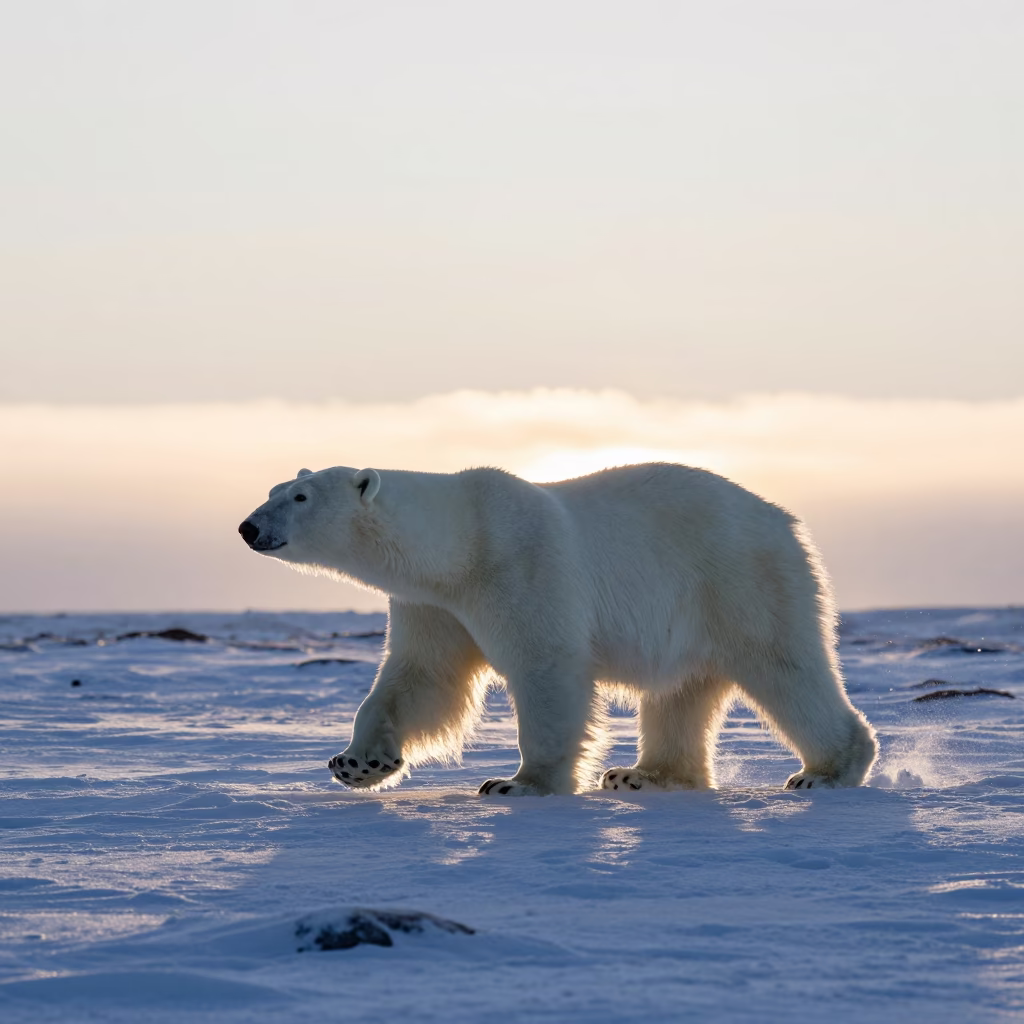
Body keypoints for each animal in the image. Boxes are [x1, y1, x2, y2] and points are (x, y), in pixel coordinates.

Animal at [239, 463, 876, 796]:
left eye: (300, 496)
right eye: (272, 490)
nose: (248, 527)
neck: (459, 544)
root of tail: (786, 521)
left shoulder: (519, 567)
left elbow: (546, 667)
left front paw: (517, 784)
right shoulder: (435, 605)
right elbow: (423, 679)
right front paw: (357, 764)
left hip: (739, 579)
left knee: (783, 667)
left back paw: (827, 771)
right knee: (681, 691)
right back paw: (642, 775)